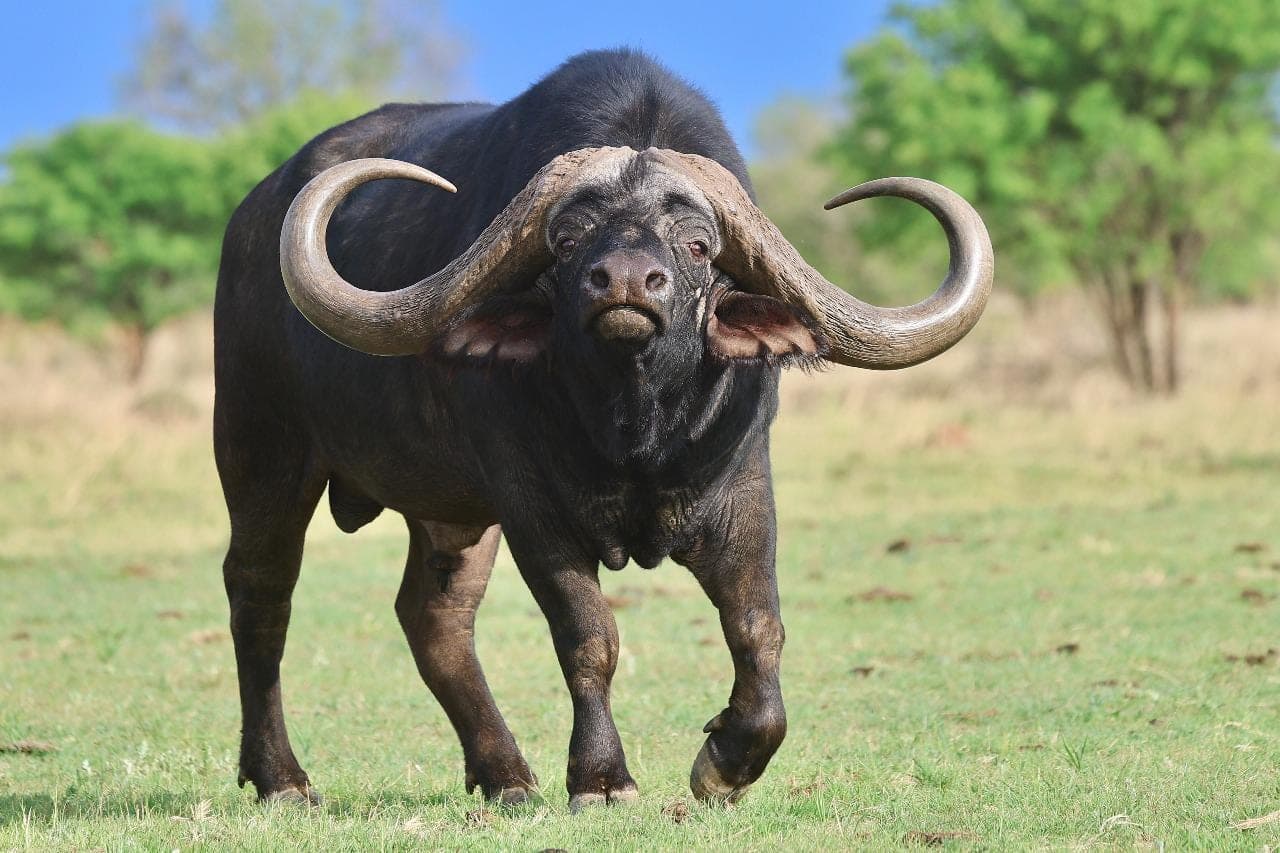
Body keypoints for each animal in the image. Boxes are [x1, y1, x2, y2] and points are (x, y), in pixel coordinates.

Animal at [214, 49, 992, 810]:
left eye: (699, 245)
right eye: (566, 238)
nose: (623, 281)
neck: (634, 431)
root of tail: (252, 218)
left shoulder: (743, 490)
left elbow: (758, 626)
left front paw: (728, 763)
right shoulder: (533, 509)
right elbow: (589, 638)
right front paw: (601, 778)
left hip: (451, 513)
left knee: (434, 616)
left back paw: (506, 776)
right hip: (261, 449)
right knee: (261, 594)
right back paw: (281, 779)